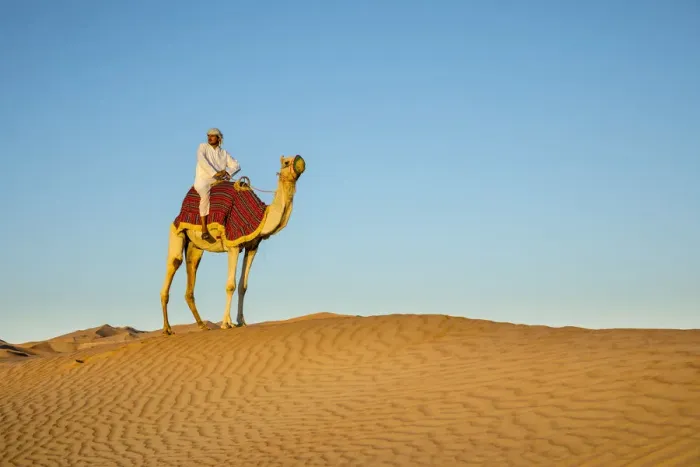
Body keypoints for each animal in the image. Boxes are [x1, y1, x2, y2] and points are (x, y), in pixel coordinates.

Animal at [160, 155, 306, 335]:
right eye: (286, 162)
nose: (300, 163)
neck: (260, 217)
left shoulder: (252, 246)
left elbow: (243, 286)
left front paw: (241, 321)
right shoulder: (233, 244)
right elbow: (231, 285)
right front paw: (226, 323)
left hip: (196, 246)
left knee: (191, 268)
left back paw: (202, 325)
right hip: (177, 231)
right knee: (174, 262)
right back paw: (167, 328)